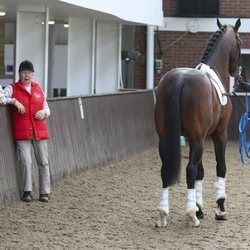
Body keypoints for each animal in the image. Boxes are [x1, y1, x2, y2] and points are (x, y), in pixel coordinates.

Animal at [154, 18, 242, 228]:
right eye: (240, 42)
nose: (236, 71)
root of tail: (180, 79)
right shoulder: (219, 135)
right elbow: (220, 167)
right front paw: (219, 209)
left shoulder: (201, 138)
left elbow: (200, 173)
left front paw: (199, 209)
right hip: (197, 139)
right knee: (190, 170)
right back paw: (191, 217)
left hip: (166, 138)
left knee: (166, 170)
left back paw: (163, 214)